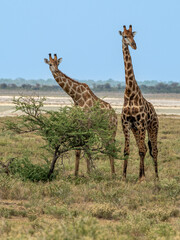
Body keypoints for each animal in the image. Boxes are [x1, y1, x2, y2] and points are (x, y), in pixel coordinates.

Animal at [119, 25, 159, 181]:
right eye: (125, 36)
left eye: (133, 35)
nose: (134, 45)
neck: (130, 93)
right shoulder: (126, 123)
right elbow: (127, 150)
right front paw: (123, 176)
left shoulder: (141, 123)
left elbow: (142, 150)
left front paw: (141, 178)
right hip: (136, 129)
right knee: (146, 148)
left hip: (152, 127)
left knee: (153, 150)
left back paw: (156, 177)